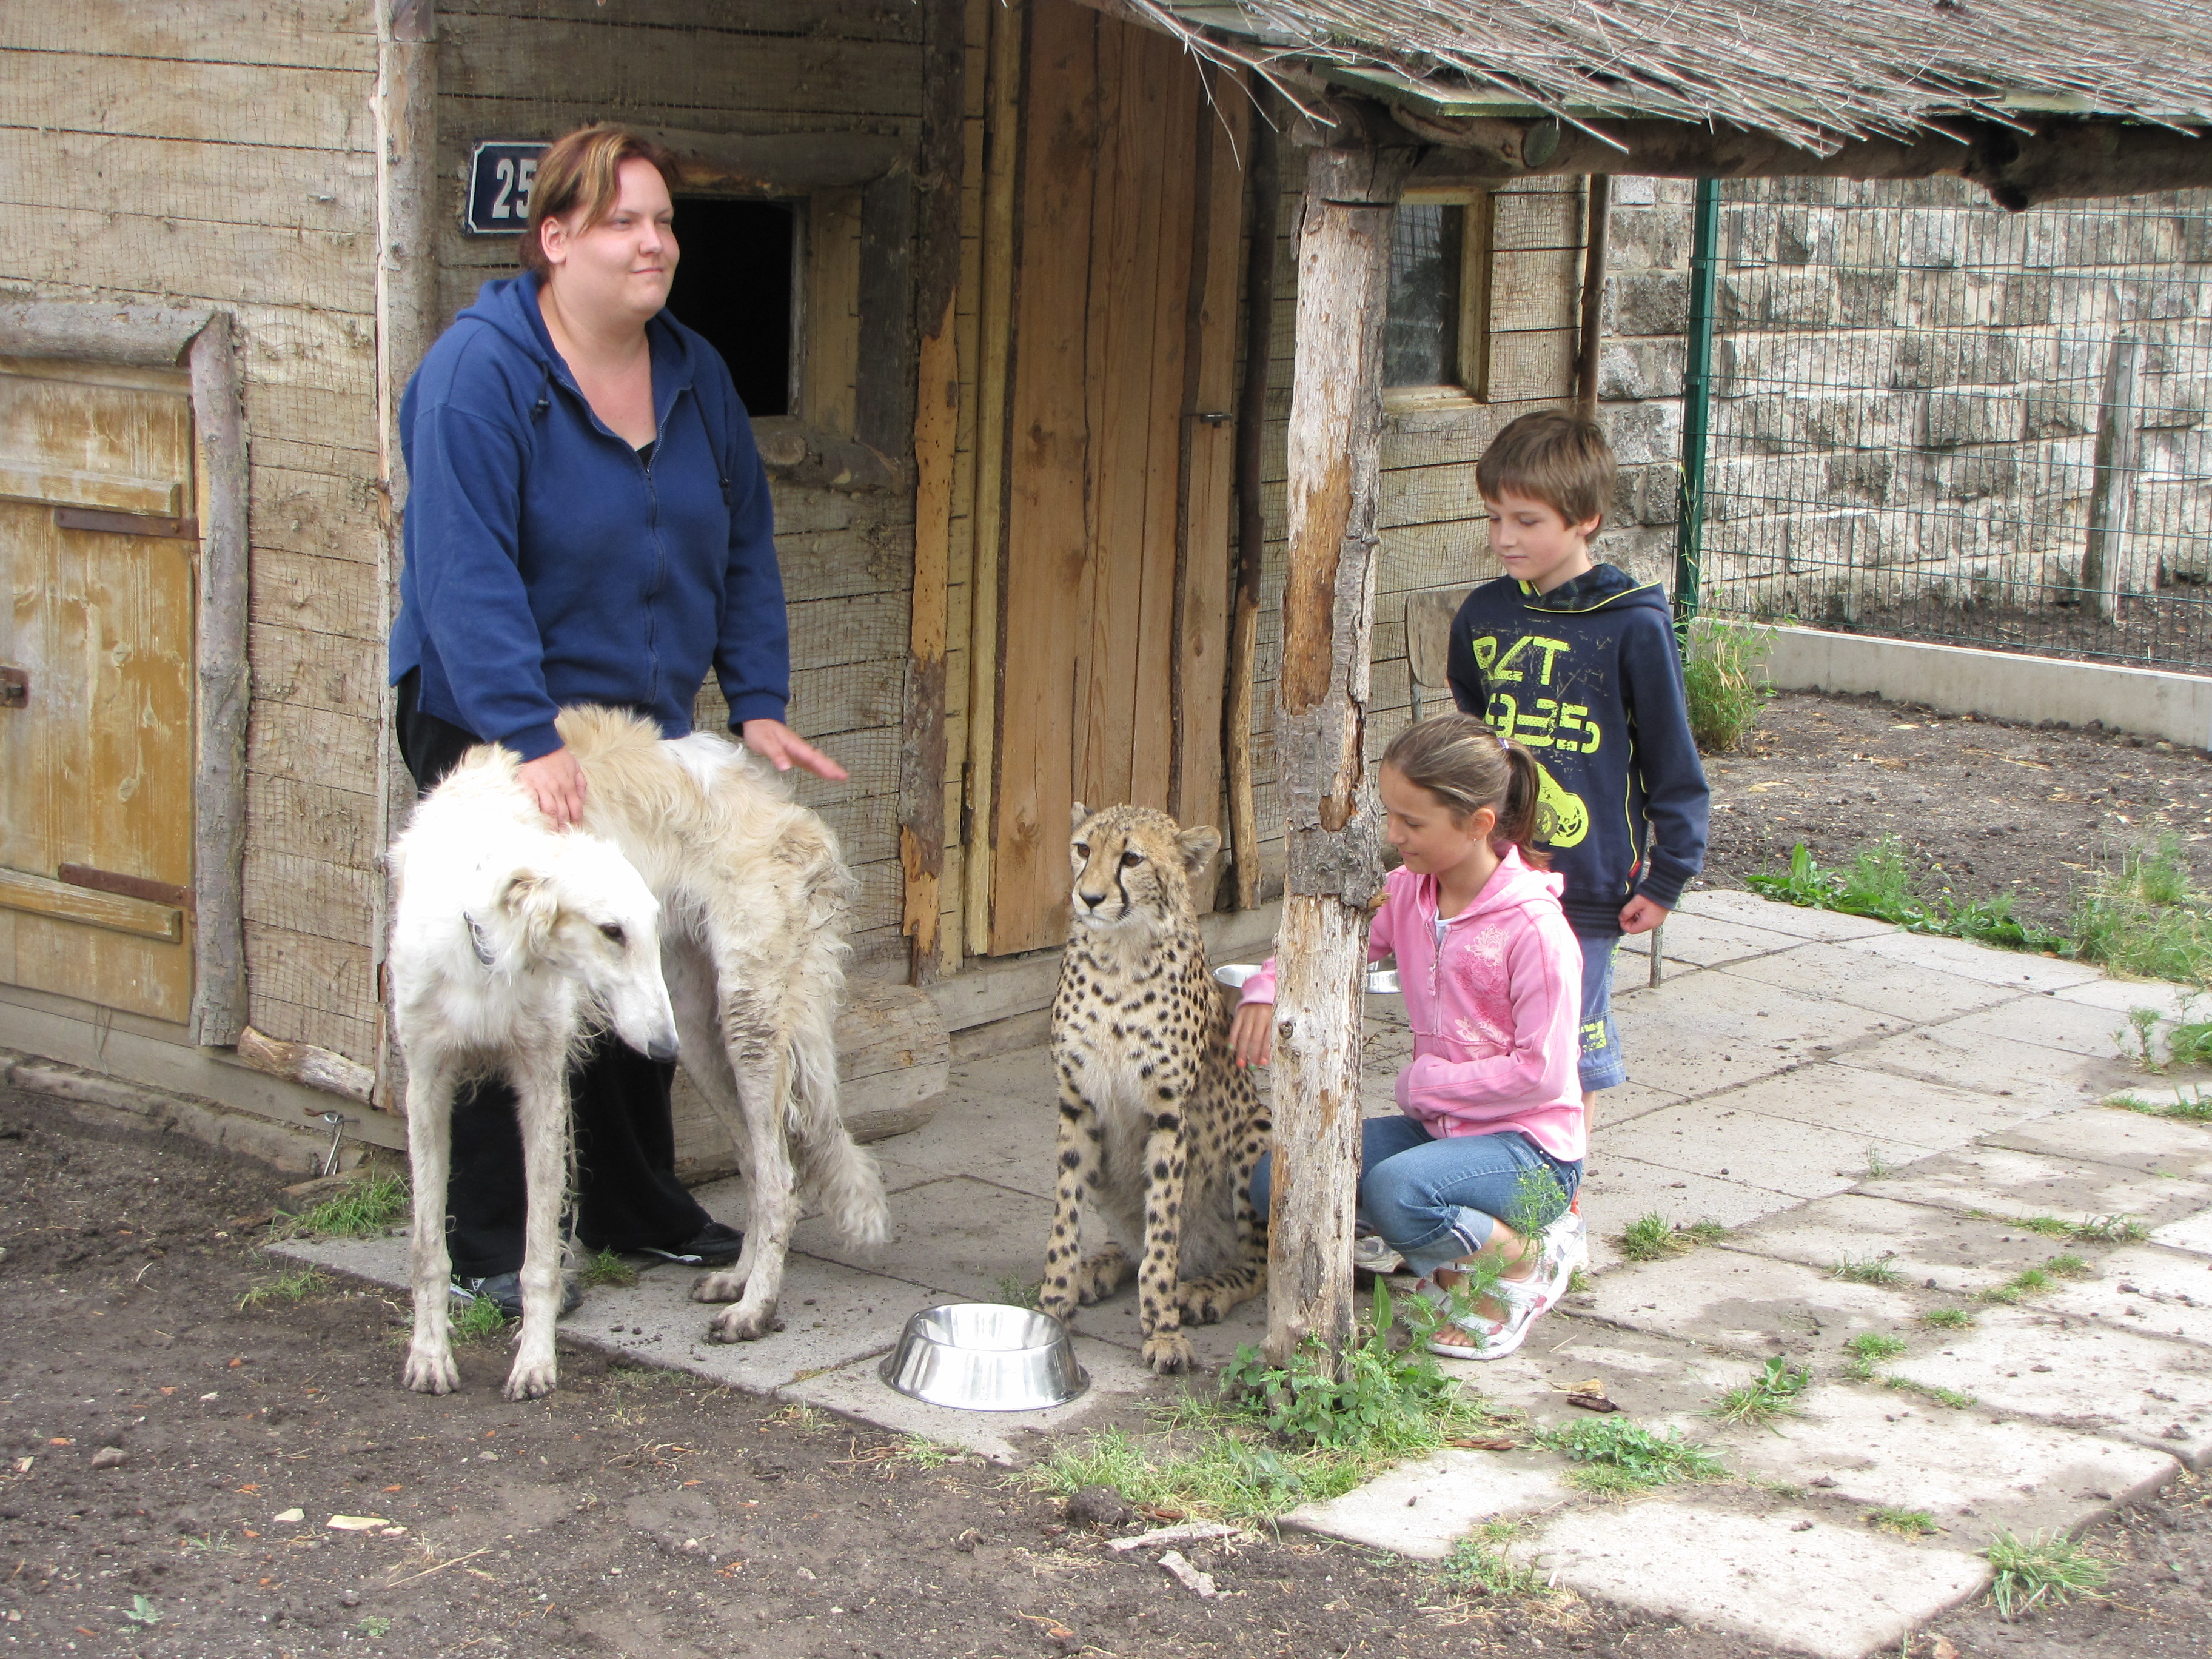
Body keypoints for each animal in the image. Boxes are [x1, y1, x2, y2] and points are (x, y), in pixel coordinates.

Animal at [389, 765, 677, 1407]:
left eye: (652, 933)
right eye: (611, 931)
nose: (668, 1049)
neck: (488, 950)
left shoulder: (542, 1081)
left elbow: (540, 1255)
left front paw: (535, 1362)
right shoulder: (427, 1080)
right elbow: (426, 1249)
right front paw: (429, 1356)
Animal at [1039, 805, 1274, 1380]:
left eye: (1132, 858)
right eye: (1083, 849)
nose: (1088, 898)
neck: (1120, 955)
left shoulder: (1168, 1116)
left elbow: (1162, 1233)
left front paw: (1163, 1332)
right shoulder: (1076, 1106)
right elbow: (1064, 1219)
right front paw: (1052, 1308)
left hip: (1259, 1129)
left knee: (1254, 1262)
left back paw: (1205, 1290)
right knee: (1128, 1242)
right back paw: (1098, 1267)